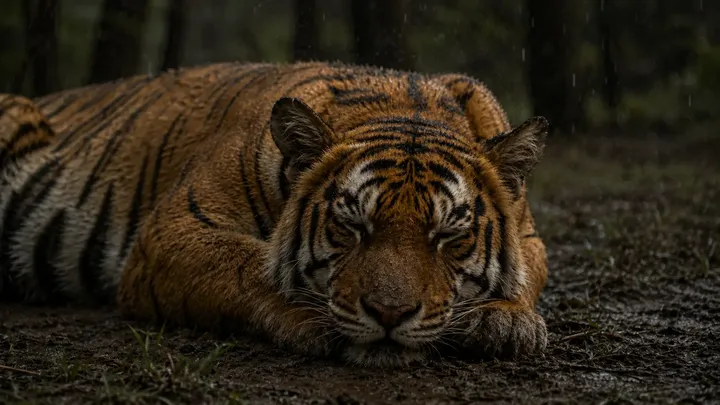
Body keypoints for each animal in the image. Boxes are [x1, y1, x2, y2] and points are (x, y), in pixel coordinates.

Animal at [0, 61, 549, 367]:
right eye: (353, 226)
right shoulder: (174, 229)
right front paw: (307, 316)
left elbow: (525, 273)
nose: (389, 315)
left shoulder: (529, 235)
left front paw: (506, 321)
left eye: (448, 234)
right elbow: (246, 265)